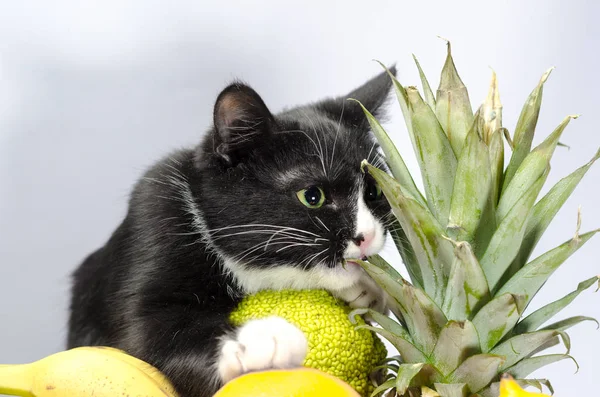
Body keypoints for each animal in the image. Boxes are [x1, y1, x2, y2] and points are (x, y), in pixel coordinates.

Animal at [68, 67, 396, 396]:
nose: (366, 236)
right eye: (312, 196)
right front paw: (260, 341)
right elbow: (144, 332)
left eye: (374, 191)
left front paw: (368, 288)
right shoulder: (153, 218)